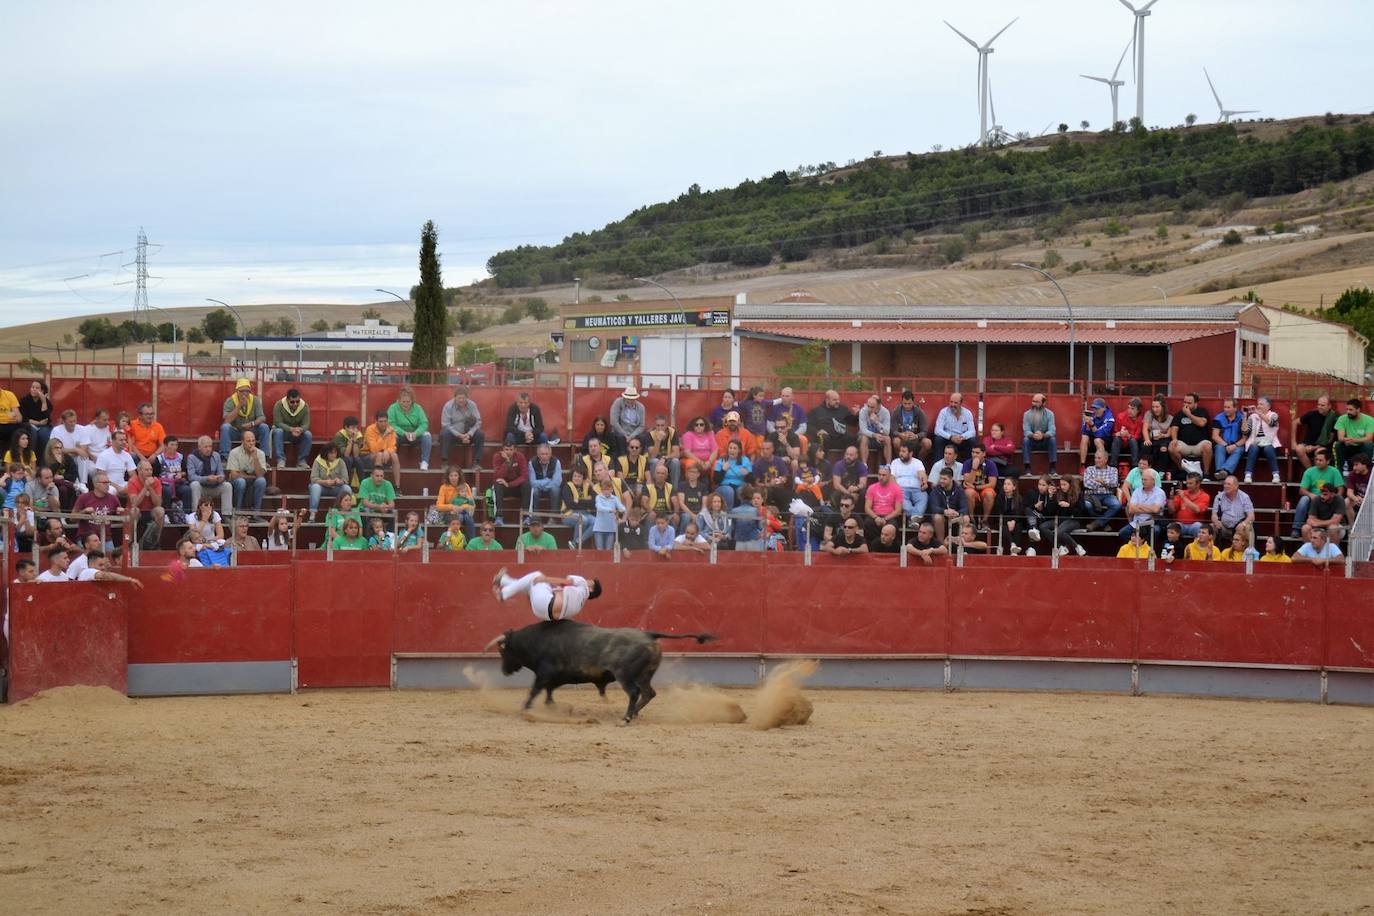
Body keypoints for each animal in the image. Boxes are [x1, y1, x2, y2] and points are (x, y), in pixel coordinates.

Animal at [486, 623, 719, 725]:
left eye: (504, 651)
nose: (504, 671)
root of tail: (648, 634)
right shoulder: (553, 677)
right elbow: (548, 692)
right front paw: (552, 707)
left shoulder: (545, 672)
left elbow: (535, 690)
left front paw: (525, 708)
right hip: (645, 676)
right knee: (648, 693)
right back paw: (634, 714)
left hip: (625, 676)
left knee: (634, 693)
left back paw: (626, 717)